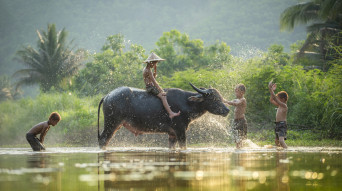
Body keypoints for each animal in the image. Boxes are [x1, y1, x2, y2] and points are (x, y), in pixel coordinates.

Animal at [97, 82, 228, 149]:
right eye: (214, 99)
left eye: (220, 97)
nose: (227, 110)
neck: (186, 102)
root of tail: (107, 96)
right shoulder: (180, 130)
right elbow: (183, 147)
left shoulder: (172, 134)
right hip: (111, 124)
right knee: (103, 140)